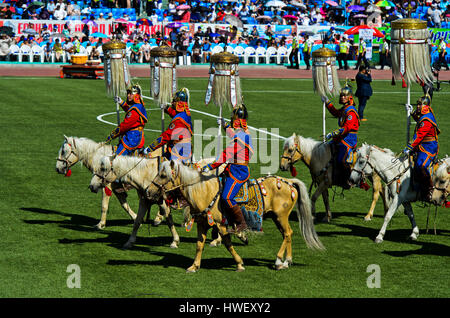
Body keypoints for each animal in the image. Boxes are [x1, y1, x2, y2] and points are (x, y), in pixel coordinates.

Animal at [145, 160, 324, 272]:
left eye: (163, 175)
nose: (148, 191)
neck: (205, 191)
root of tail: (289, 181)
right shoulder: (202, 223)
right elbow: (199, 245)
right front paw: (194, 266)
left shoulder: (221, 224)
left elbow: (227, 243)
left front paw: (239, 264)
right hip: (276, 217)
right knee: (288, 234)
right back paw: (287, 261)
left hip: (281, 216)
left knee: (287, 234)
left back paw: (279, 260)